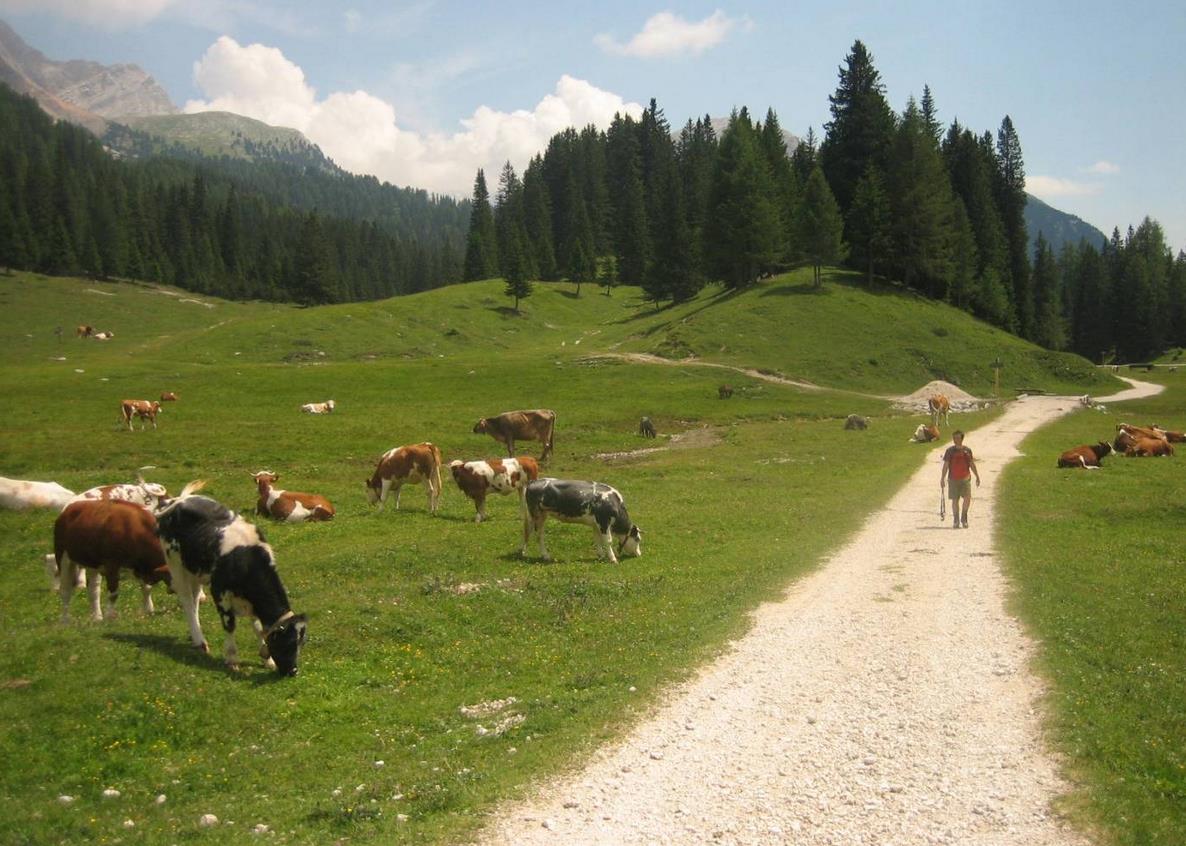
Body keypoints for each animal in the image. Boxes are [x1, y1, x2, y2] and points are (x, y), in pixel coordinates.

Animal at [152, 491, 308, 678]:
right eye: (287, 643)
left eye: (301, 643)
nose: (293, 671)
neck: (247, 557)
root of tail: (177, 500)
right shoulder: (219, 592)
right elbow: (229, 625)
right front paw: (232, 660)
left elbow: (258, 627)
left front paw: (267, 661)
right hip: (176, 565)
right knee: (187, 601)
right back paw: (200, 640)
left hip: (195, 570)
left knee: (195, 599)